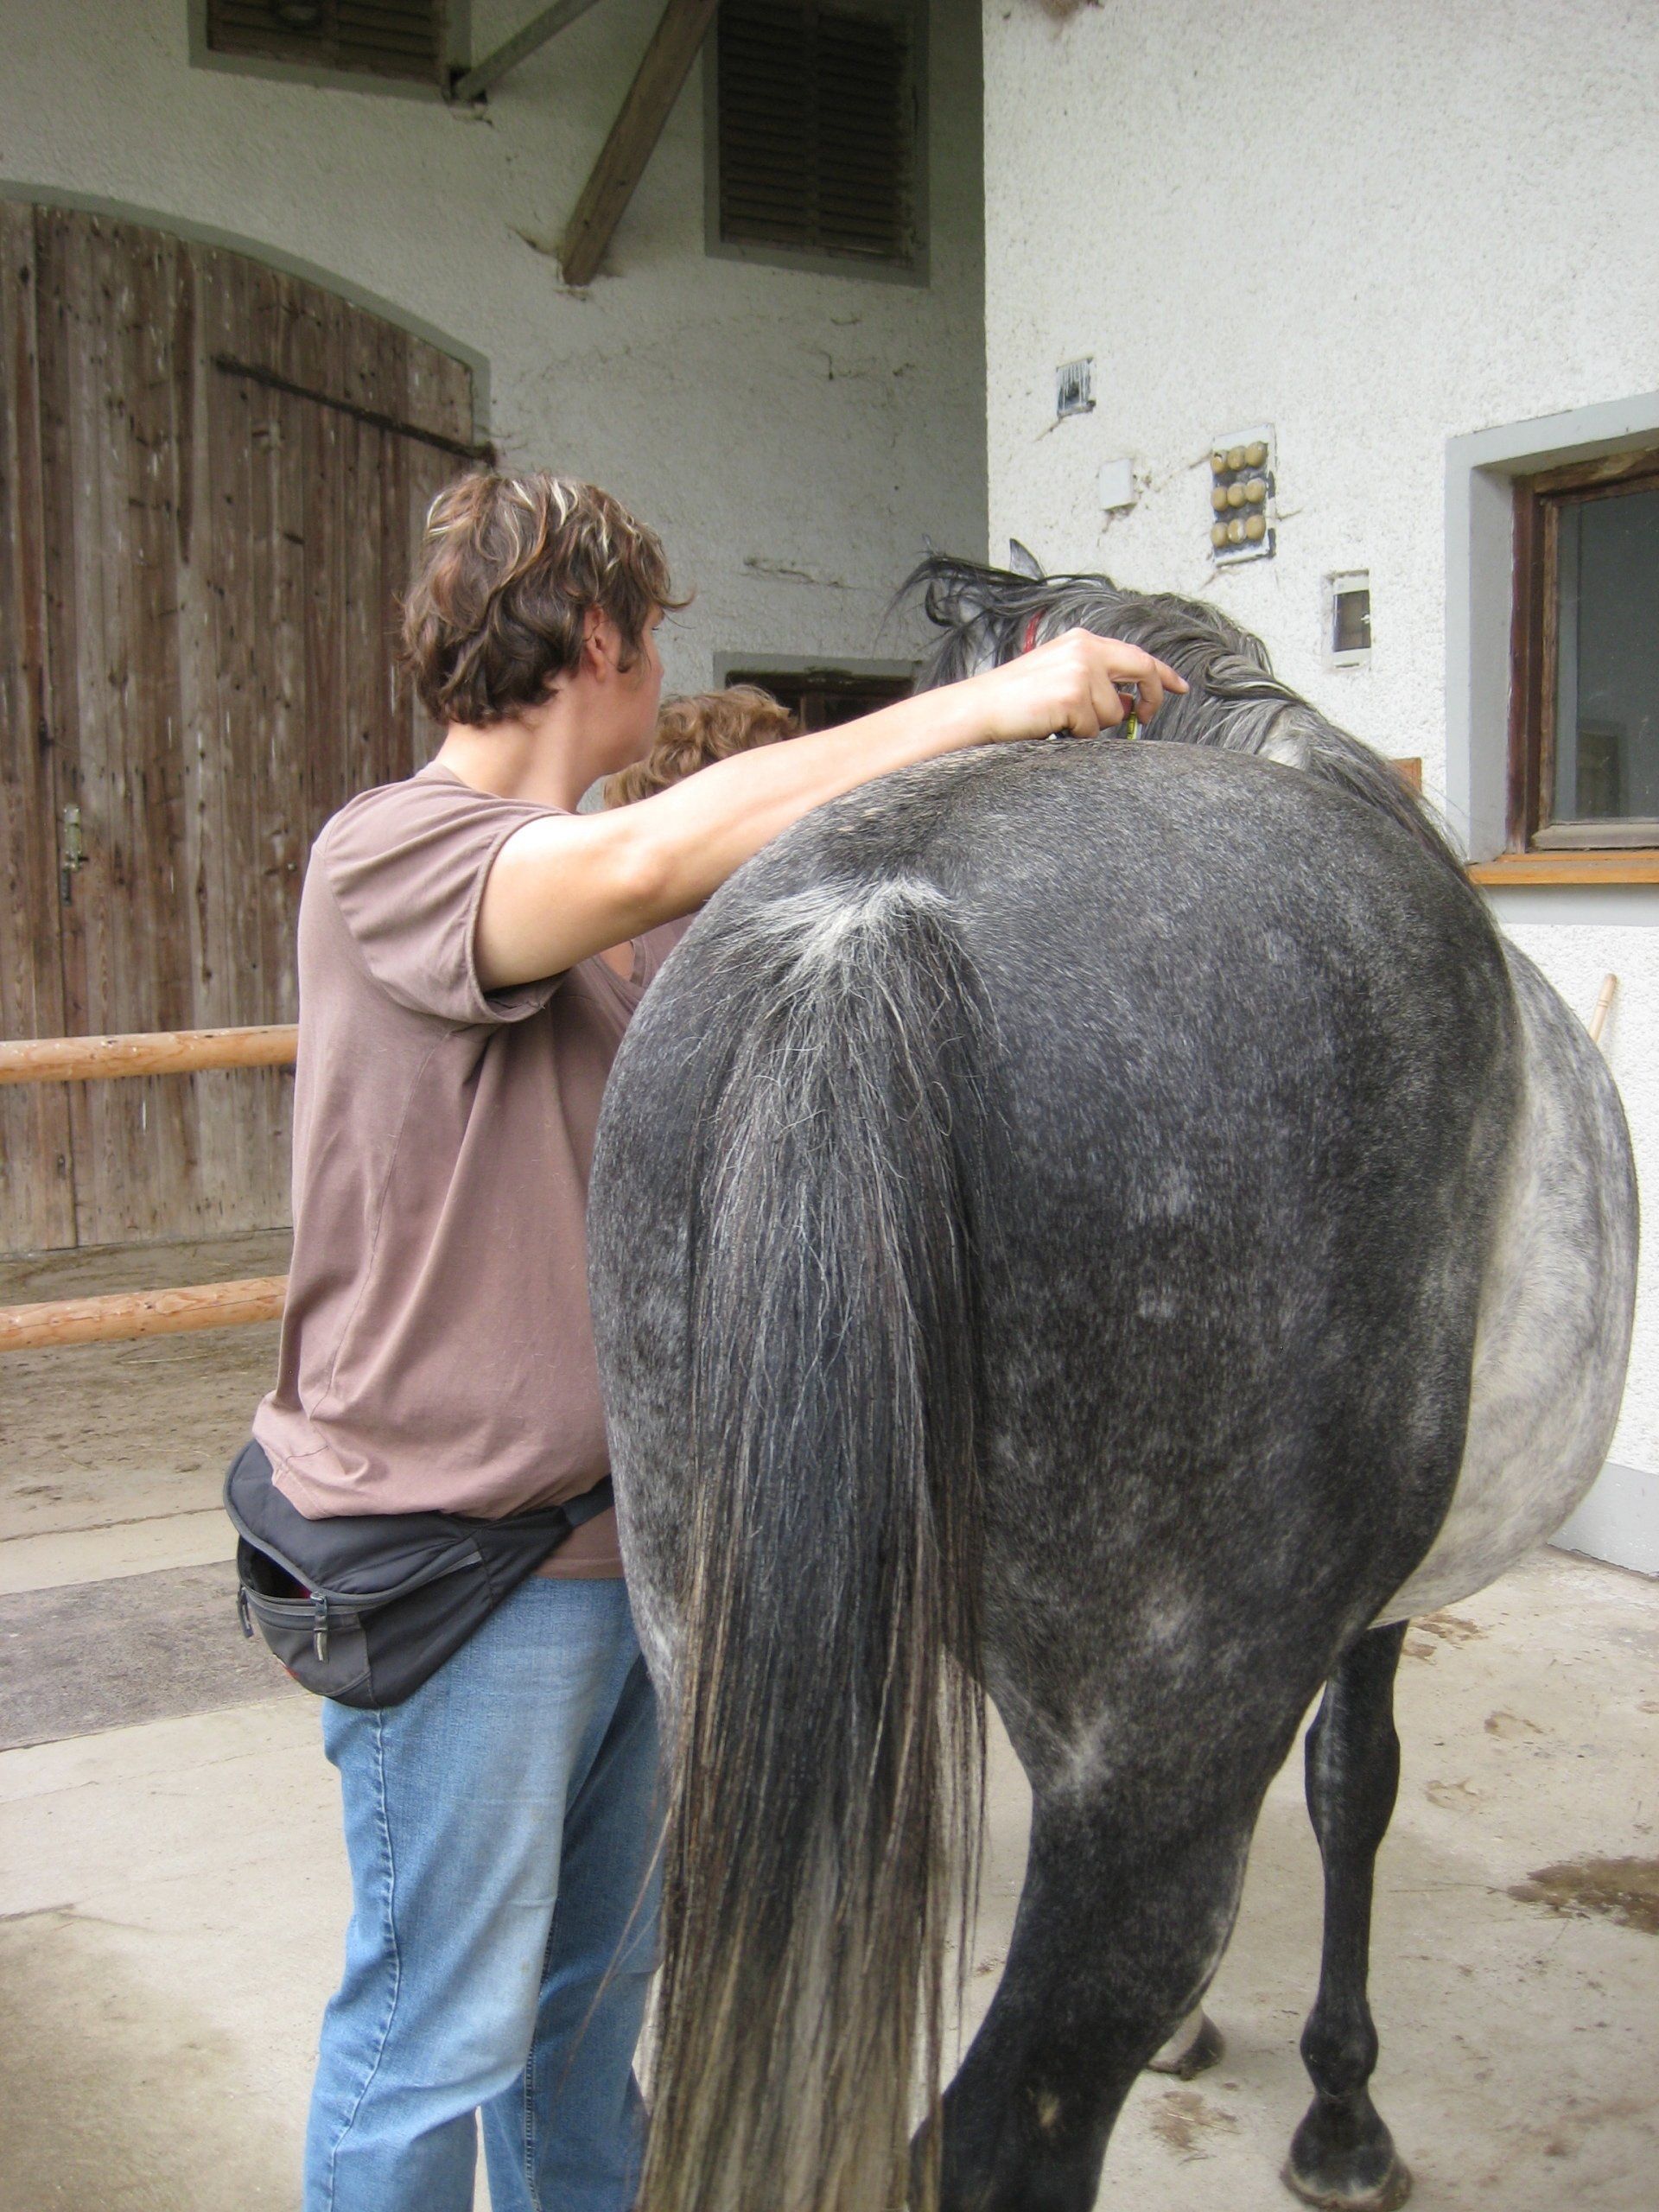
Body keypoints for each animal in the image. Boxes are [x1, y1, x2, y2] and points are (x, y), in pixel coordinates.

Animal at [586, 553, 1637, 2212]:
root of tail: (867, 930)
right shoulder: (1346, 1630)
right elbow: (1356, 1788)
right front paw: (1343, 2119)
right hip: (1165, 1773)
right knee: (1011, 2131)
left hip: (709, 1674)